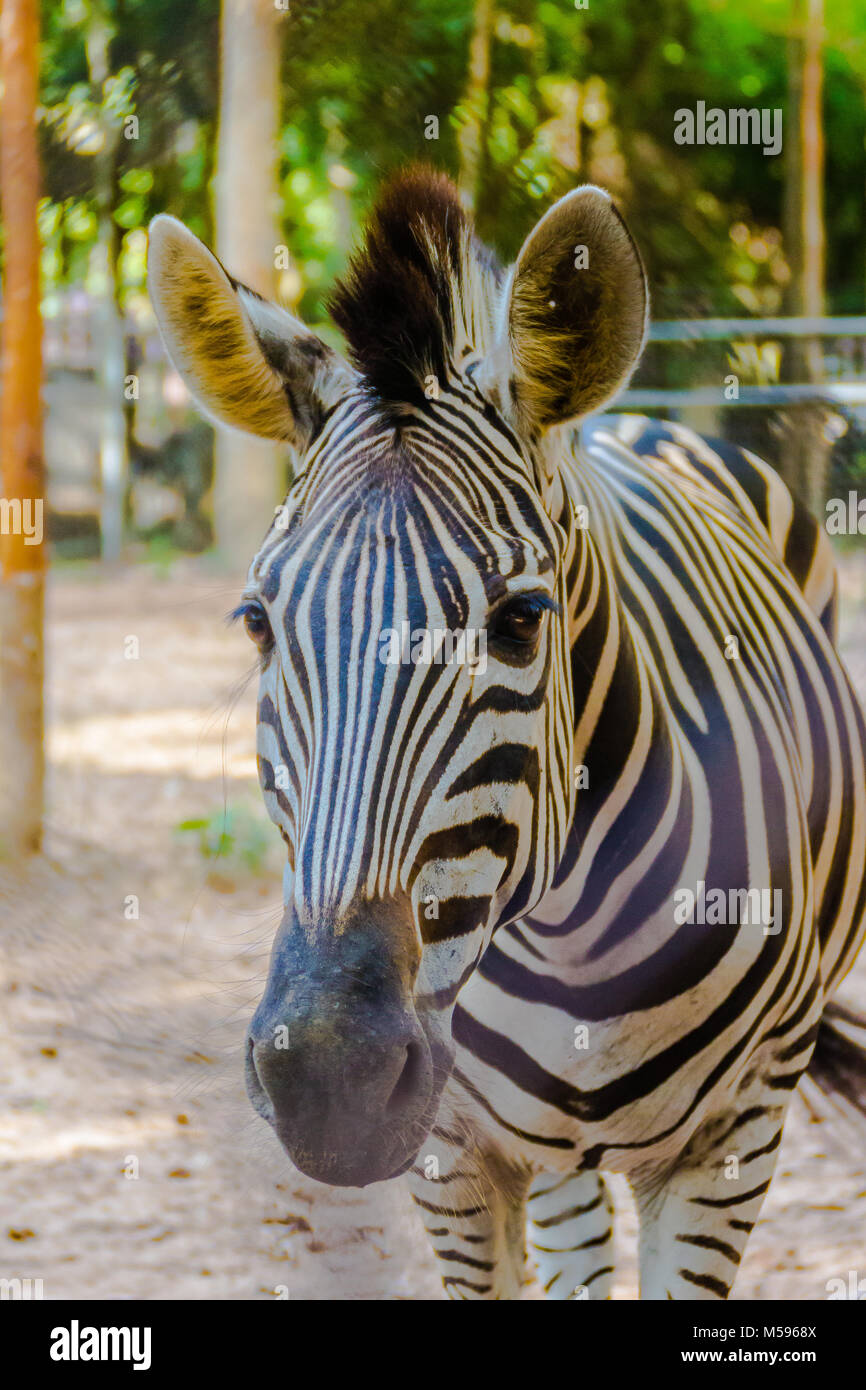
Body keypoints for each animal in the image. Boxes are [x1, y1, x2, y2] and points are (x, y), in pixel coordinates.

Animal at [150, 168, 866, 1295]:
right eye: (258, 623)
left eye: (522, 620)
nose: (327, 1076)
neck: (570, 934)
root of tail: (638, 423)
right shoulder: (449, 1146)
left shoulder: (735, 1134)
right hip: (551, 1142)